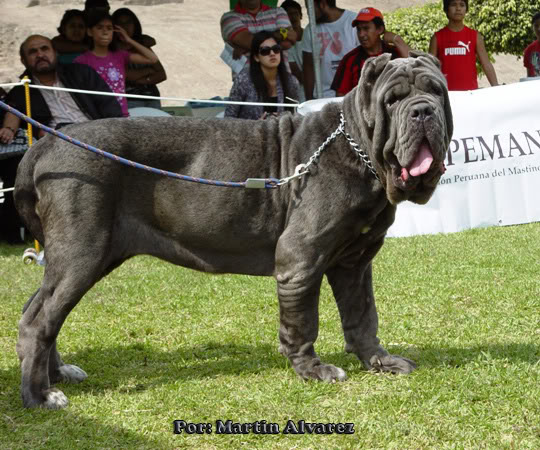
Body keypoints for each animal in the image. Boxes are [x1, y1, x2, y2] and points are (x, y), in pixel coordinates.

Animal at [13, 51, 452, 408]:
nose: (423, 111)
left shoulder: (354, 262)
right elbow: (303, 322)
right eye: (392, 100)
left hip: (88, 255)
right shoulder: (300, 258)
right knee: (39, 319)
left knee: (38, 309)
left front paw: (380, 361)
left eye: (437, 92)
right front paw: (312, 370)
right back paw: (41, 395)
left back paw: (57, 373)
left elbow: (363, 316)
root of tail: (46, 145)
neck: (358, 146)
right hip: (82, 252)